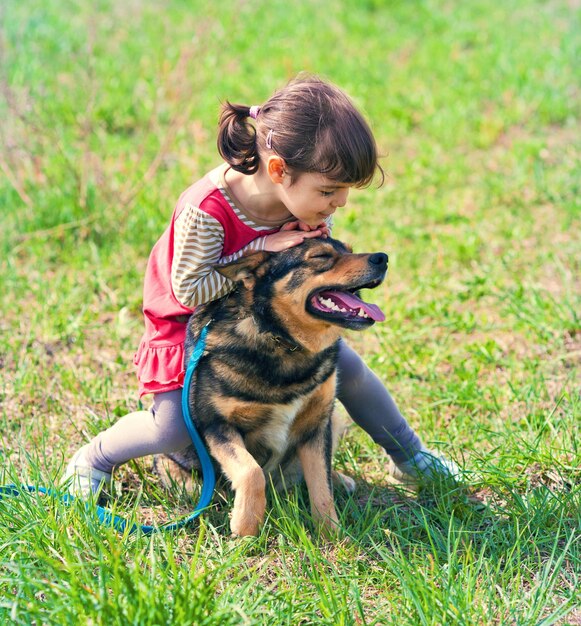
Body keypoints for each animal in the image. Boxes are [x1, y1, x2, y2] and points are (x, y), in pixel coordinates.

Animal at [156, 236, 388, 532]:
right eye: (321, 256)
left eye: (349, 250)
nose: (383, 258)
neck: (282, 341)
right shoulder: (216, 425)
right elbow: (251, 472)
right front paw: (245, 529)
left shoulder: (316, 425)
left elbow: (321, 487)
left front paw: (332, 534)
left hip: (333, 420)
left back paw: (339, 479)